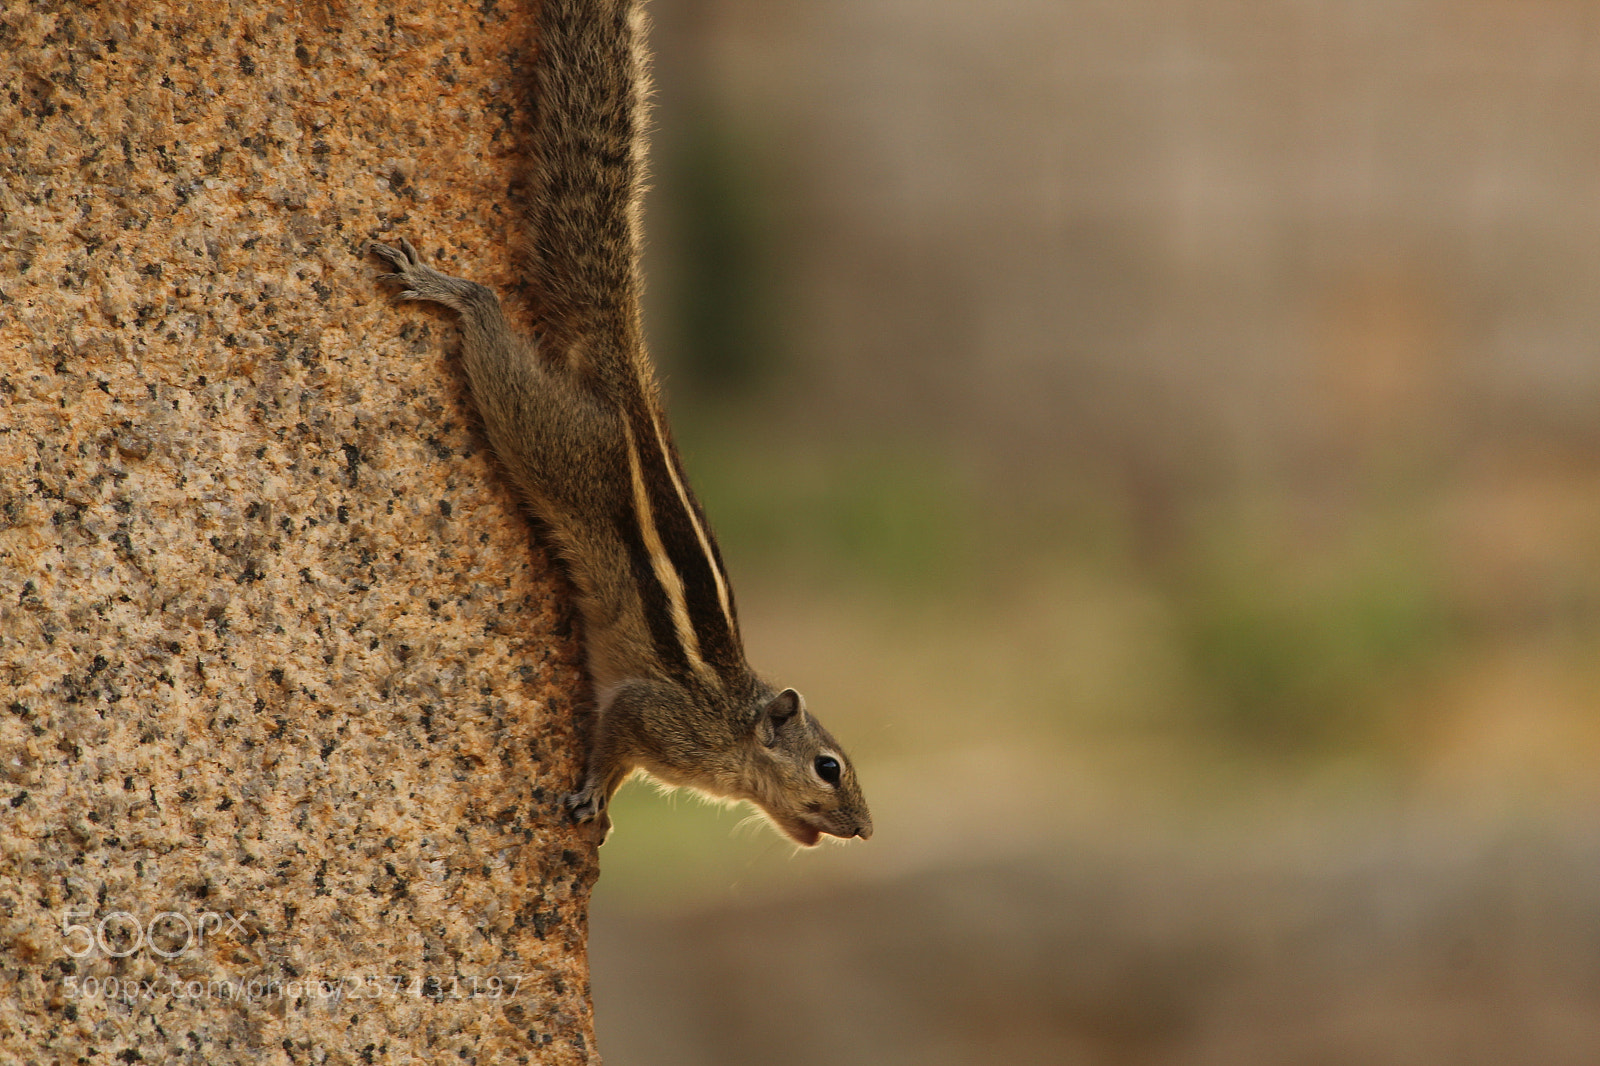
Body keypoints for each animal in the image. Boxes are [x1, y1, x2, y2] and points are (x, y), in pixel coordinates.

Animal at [371, 0, 871, 847]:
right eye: (828, 767)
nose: (865, 828)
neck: (731, 727)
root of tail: (630, 376)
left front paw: (601, 803)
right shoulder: (652, 712)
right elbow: (614, 736)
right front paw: (589, 792)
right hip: (551, 438)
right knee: (493, 331)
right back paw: (452, 290)